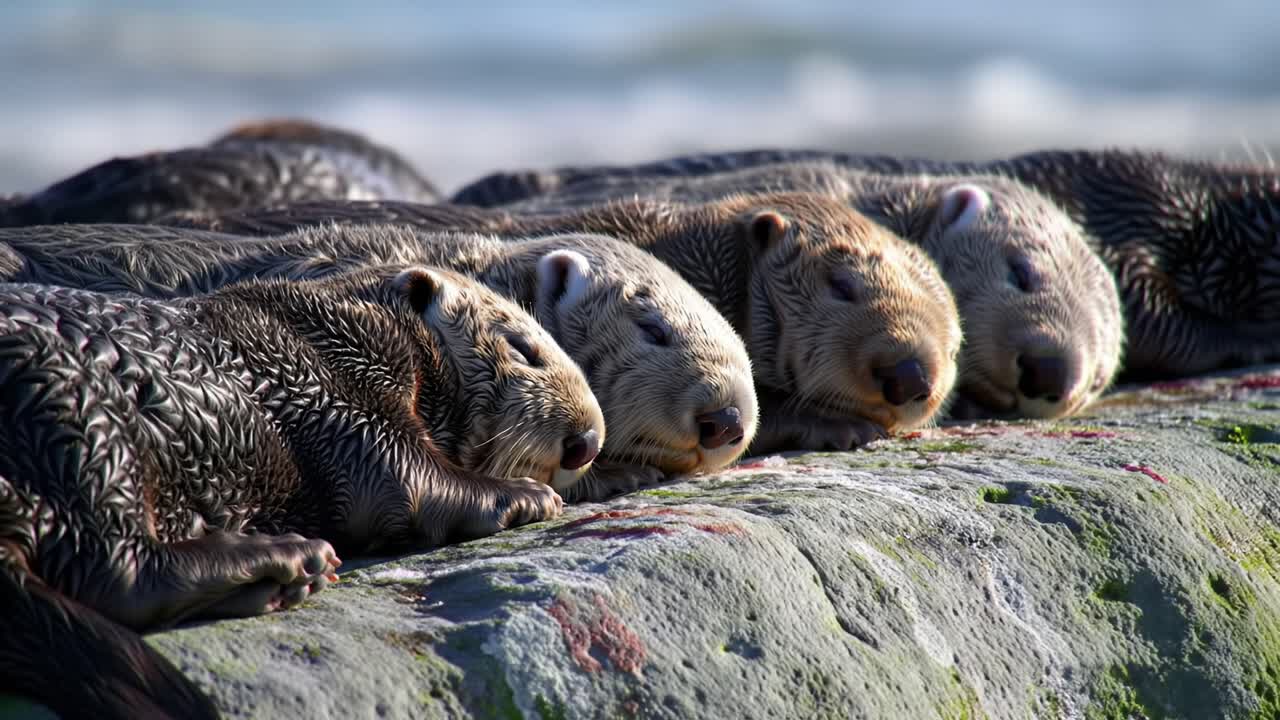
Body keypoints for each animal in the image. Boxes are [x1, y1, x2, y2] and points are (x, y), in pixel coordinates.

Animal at [0, 264, 604, 719]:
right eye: (524, 349)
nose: (588, 441)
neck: (341, 329)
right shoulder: (342, 398)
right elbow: (412, 483)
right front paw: (523, 494)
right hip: (77, 414)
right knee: (116, 568)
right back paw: (290, 557)